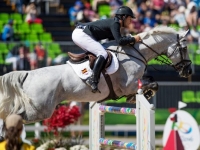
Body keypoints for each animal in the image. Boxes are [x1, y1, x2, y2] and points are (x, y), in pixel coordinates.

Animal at [0, 26, 192, 123]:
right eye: (184, 48)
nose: (188, 71)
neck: (135, 52)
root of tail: (27, 74)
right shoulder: (127, 85)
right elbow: (151, 84)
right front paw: (144, 93)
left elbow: (150, 81)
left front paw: (142, 94)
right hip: (40, 110)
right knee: (14, 116)